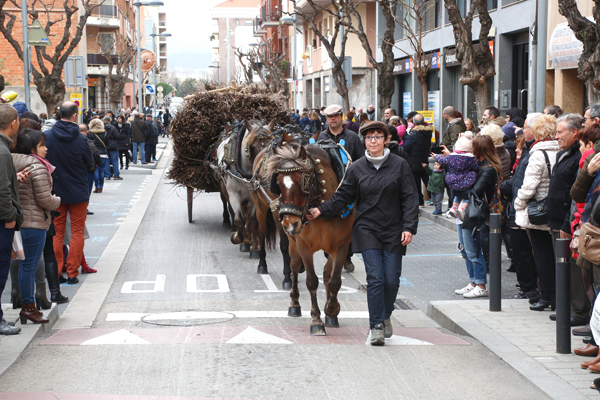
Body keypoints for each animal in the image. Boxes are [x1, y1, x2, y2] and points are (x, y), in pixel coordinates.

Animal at [266, 141, 354, 334]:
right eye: (278, 184)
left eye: (303, 181)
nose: (289, 223)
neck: (321, 207)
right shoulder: (303, 246)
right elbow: (312, 281)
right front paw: (316, 320)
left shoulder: (341, 245)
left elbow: (334, 280)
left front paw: (332, 310)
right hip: (293, 246)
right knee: (293, 266)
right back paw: (294, 304)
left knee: (327, 273)